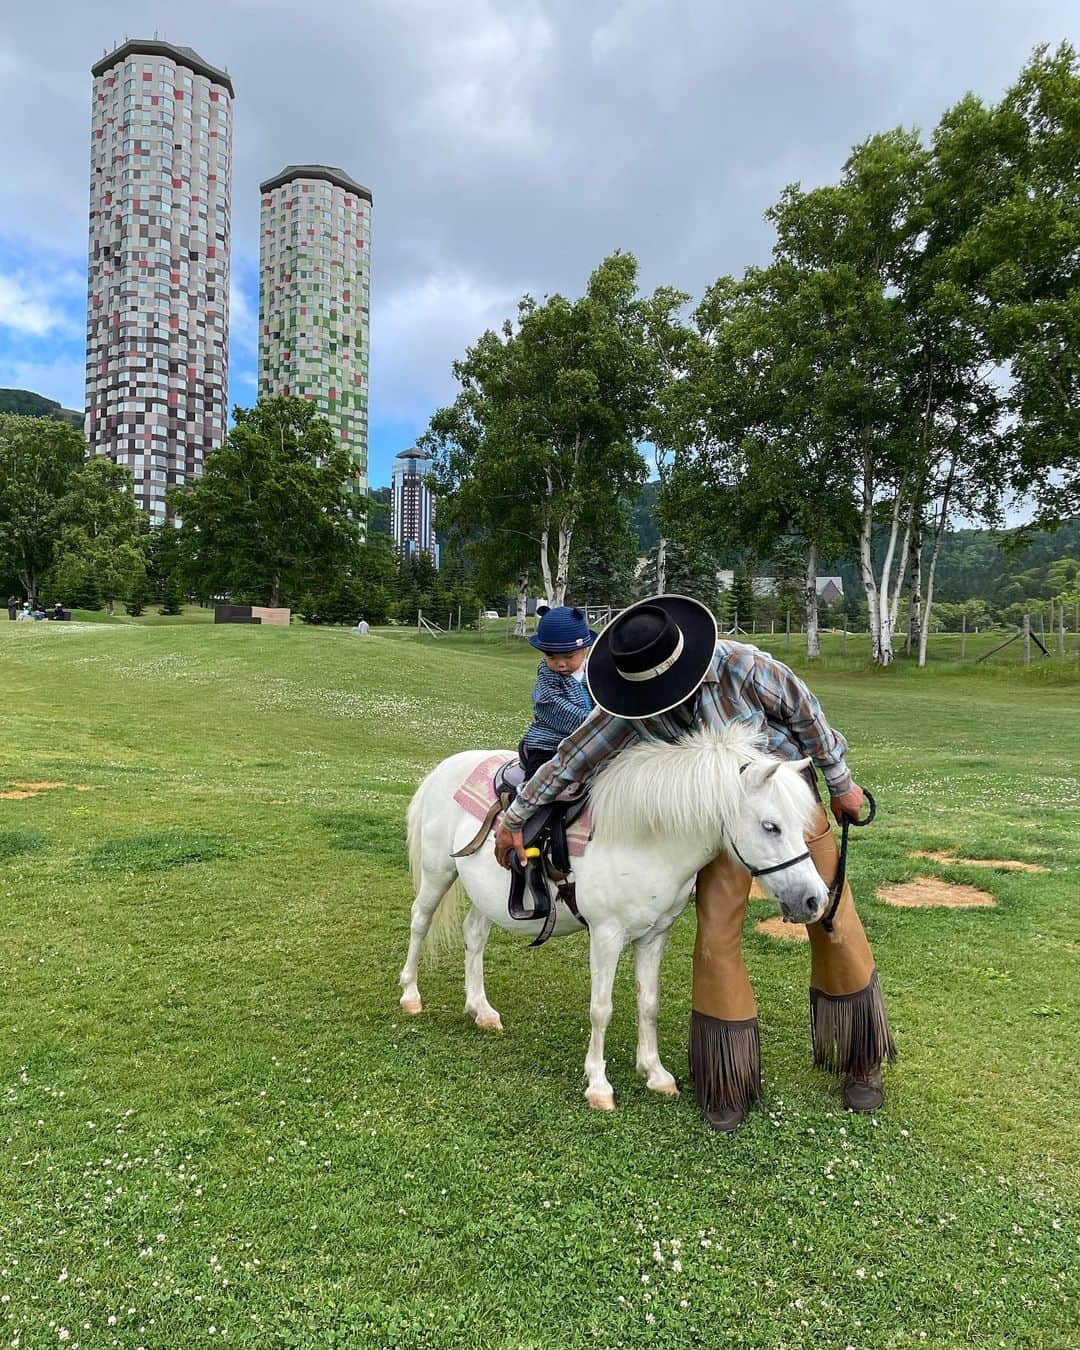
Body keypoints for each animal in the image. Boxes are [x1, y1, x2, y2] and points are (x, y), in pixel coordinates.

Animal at [396, 729, 826, 1107]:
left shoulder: (655, 936)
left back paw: (480, 1009)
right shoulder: (606, 935)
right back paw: (410, 995)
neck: (646, 842)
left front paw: (655, 1073)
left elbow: (648, 1003)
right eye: (771, 826)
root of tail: (445, 767)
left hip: (488, 896)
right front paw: (598, 1085)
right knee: (419, 921)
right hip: (437, 873)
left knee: (473, 935)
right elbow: (601, 1009)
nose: (813, 900)